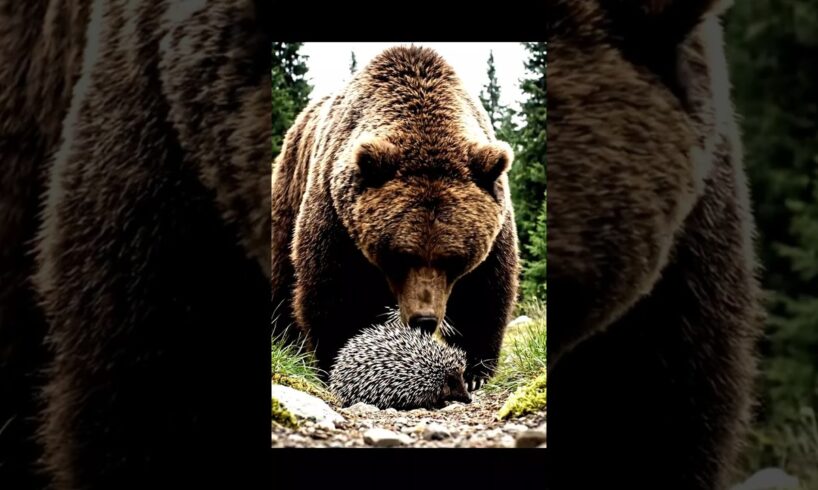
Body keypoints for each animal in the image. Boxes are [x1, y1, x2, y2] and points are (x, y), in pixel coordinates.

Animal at [271, 45, 521, 390]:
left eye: (455, 259)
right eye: (401, 255)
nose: (424, 319)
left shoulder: (496, 228)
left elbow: (485, 293)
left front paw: (475, 372)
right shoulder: (336, 220)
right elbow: (334, 293)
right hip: (290, 188)